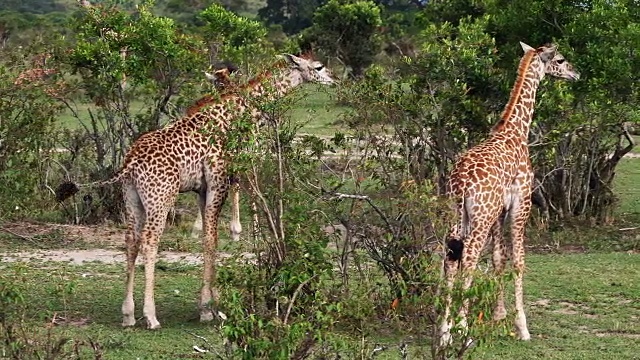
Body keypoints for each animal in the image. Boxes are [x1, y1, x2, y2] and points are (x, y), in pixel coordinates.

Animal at [55, 53, 336, 330]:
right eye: (319, 67)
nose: (334, 79)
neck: (235, 113)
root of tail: (130, 163)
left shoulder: (202, 189)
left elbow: (206, 239)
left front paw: (209, 307)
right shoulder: (218, 182)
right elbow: (212, 240)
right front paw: (210, 309)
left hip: (131, 199)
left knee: (131, 241)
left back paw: (128, 315)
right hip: (161, 199)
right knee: (149, 242)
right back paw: (151, 317)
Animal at [440, 43, 580, 346]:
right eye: (560, 60)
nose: (575, 73)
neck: (516, 131)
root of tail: (461, 182)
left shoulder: (499, 212)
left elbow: (497, 259)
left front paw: (498, 315)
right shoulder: (521, 204)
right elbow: (518, 261)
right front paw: (522, 327)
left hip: (456, 216)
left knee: (450, 260)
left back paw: (444, 332)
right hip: (479, 218)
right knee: (468, 259)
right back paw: (462, 329)